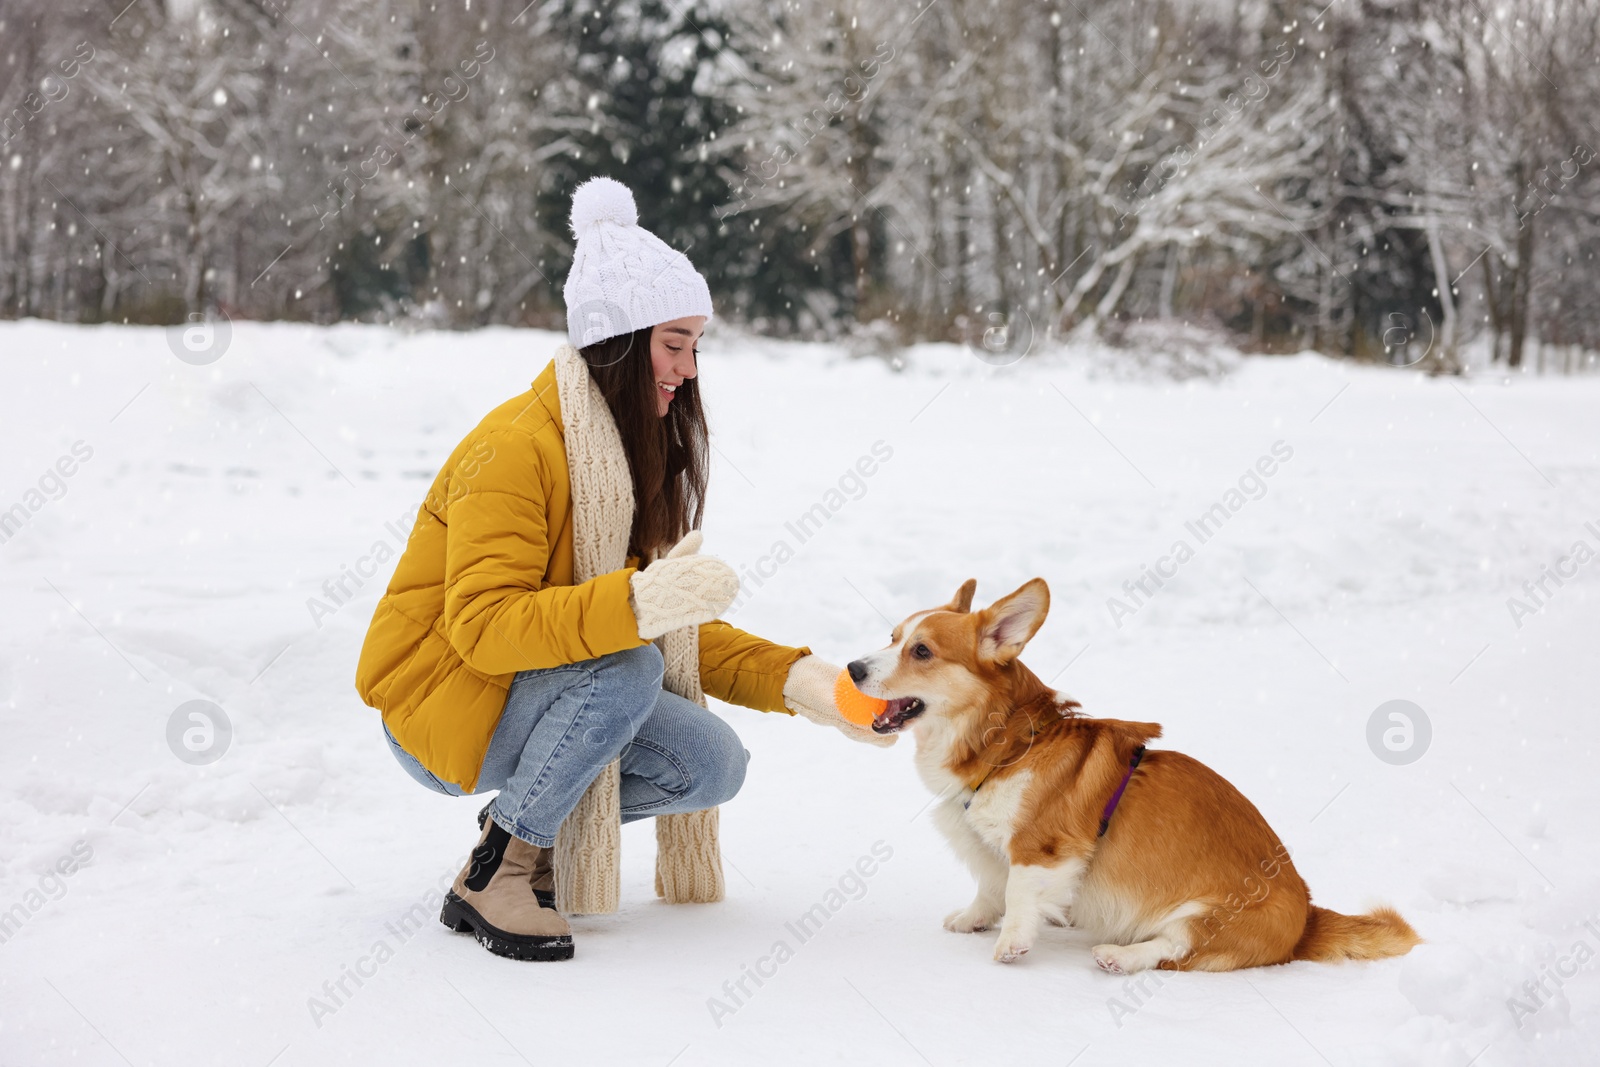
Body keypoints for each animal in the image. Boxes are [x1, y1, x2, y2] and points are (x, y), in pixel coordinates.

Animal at [844, 579, 1420, 972]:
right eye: (891, 637)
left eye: (921, 651)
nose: (852, 668)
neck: (1004, 744)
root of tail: (1307, 919)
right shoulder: (984, 844)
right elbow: (990, 887)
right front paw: (972, 920)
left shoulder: (1041, 848)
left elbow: (1019, 896)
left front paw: (1011, 945)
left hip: (1205, 914)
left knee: (1175, 951)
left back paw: (1119, 957)